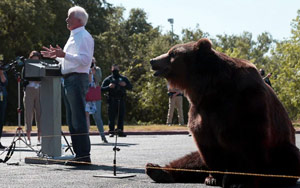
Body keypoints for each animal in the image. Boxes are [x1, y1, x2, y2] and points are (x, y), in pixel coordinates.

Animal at [146, 37, 300, 187]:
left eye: (172, 53)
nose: (152, 60)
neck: (211, 90)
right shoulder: (201, 111)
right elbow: (207, 145)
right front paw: (214, 178)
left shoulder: (245, 102)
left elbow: (250, 143)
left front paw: (239, 181)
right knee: (191, 159)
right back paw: (156, 169)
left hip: (281, 150)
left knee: (288, 157)